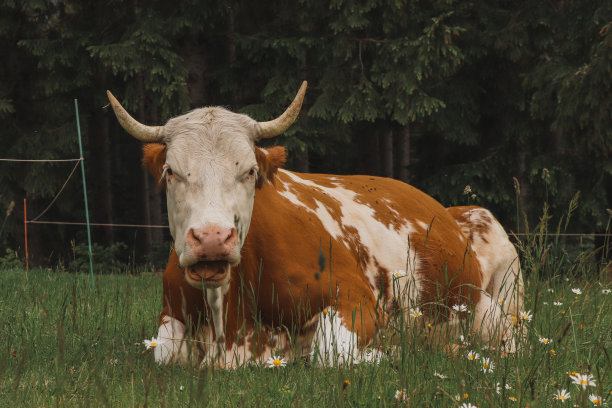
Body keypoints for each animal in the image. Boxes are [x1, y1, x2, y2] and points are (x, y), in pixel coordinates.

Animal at [107, 82, 524, 366]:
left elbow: (331, 355)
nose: (212, 238)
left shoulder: (355, 298)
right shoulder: (170, 314)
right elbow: (165, 354)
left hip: (503, 292)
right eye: (171, 172)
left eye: (250, 171)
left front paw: (392, 352)